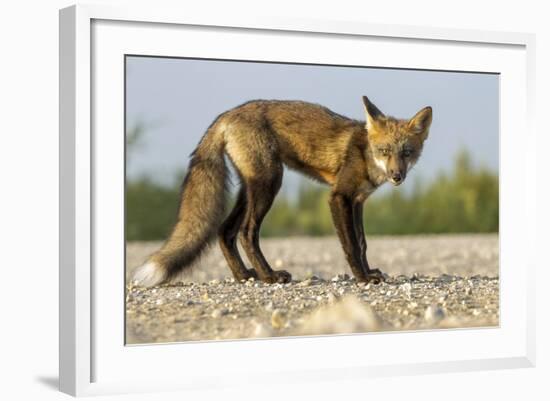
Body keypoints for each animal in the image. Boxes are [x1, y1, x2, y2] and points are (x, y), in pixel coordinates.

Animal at [132, 95, 434, 286]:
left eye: (407, 153)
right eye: (385, 151)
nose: (397, 176)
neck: (365, 154)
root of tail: (227, 114)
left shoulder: (358, 201)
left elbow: (362, 243)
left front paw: (369, 271)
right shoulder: (339, 197)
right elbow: (350, 245)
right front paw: (362, 278)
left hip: (250, 189)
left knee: (224, 230)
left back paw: (244, 276)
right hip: (269, 183)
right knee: (246, 232)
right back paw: (269, 276)